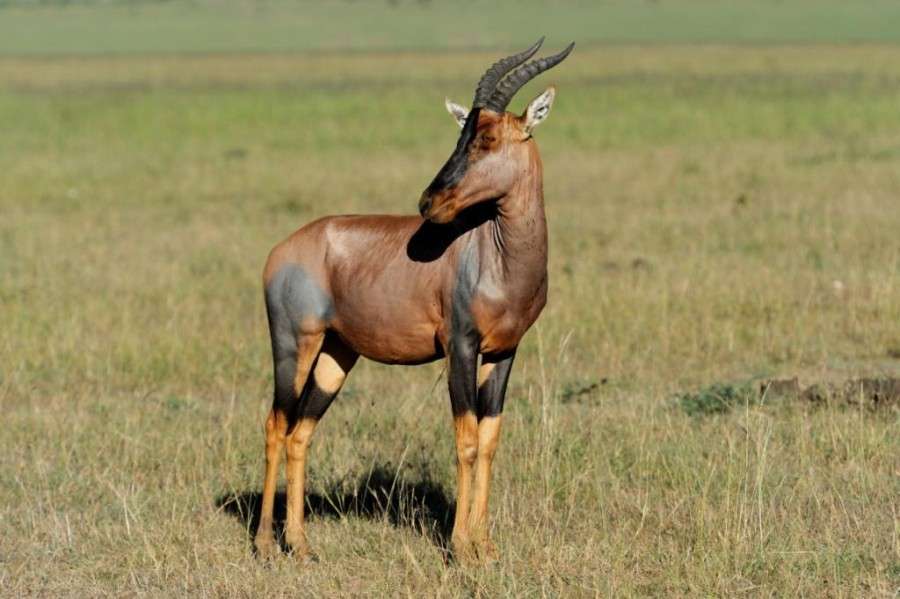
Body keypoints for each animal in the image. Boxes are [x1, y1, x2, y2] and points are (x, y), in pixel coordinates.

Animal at [255, 38, 574, 562]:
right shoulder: (459, 345)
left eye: (487, 138)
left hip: (337, 354)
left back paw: (300, 544)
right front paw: (461, 548)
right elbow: (466, 439)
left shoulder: (504, 351)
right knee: (275, 424)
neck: (495, 250)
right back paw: (264, 542)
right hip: (293, 344)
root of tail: (281, 251)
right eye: (462, 133)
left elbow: (489, 439)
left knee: (301, 432)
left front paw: (485, 546)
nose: (429, 203)